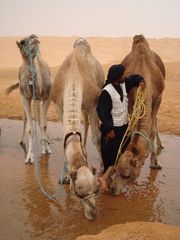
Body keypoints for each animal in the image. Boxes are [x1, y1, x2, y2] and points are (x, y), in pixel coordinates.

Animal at [5, 34, 51, 164]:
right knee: (25, 118)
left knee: (39, 120)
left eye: (35, 37)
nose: (34, 38)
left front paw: (46, 149)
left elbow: (44, 124)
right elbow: (30, 129)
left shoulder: (46, 97)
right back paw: (22, 140)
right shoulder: (25, 98)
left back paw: (45, 146)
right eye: (22, 42)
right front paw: (29, 157)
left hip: (38, 99)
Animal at [50, 37, 105, 219]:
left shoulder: (93, 105)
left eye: (96, 190)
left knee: (88, 124)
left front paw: (104, 168)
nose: (93, 213)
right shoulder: (58, 105)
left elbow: (97, 137)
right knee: (84, 123)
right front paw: (66, 177)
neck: (73, 78)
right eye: (79, 194)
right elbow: (65, 139)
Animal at [105, 35, 166, 195]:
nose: (113, 189)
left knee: (156, 121)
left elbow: (152, 129)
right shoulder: (131, 100)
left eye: (127, 175)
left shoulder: (158, 97)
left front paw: (155, 162)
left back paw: (160, 144)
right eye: (116, 170)